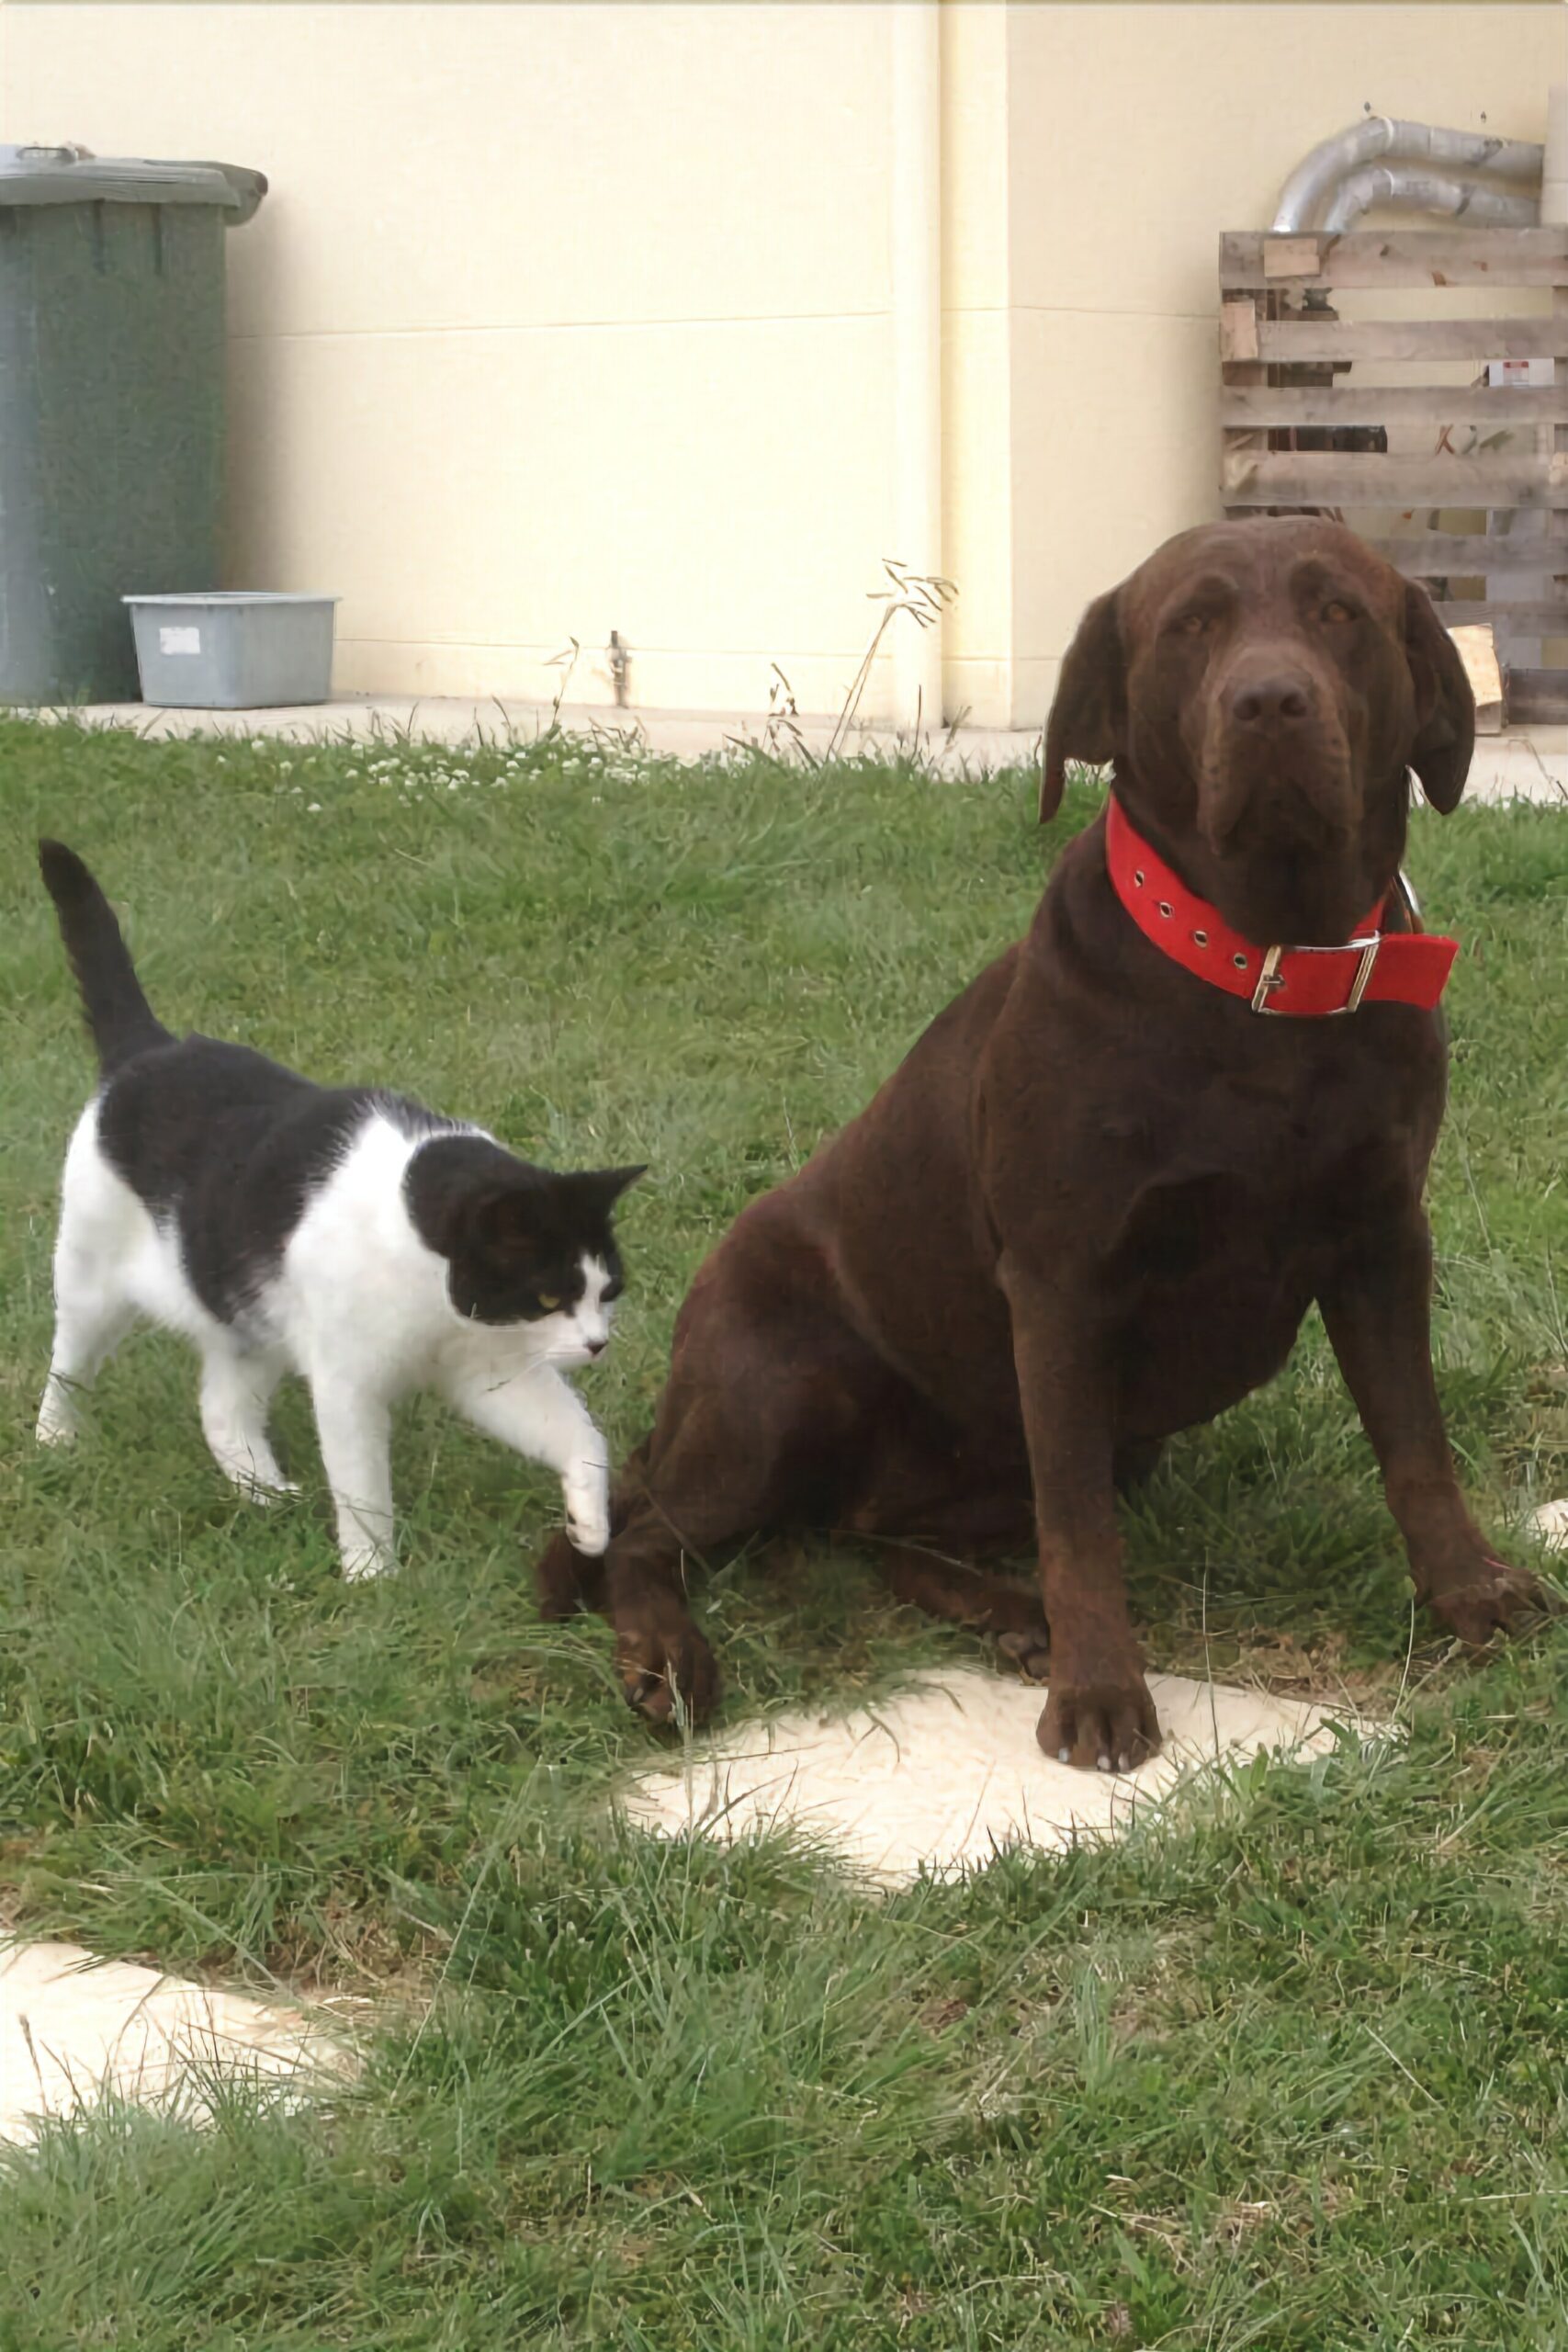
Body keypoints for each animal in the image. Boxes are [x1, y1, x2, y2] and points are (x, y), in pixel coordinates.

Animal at [35, 842, 644, 1580]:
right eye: (550, 1296)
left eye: (608, 1292)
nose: (597, 1343)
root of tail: (149, 1049)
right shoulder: (347, 1379)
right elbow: (361, 1485)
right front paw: (372, 1574)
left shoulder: (489, 1365)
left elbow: (578, 1434)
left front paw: (590, 1523)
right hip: (92, 1277)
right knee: (69, 1361)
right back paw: (55, 1439)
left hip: (246, 1317)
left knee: (221, 1410)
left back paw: (265, 1491)